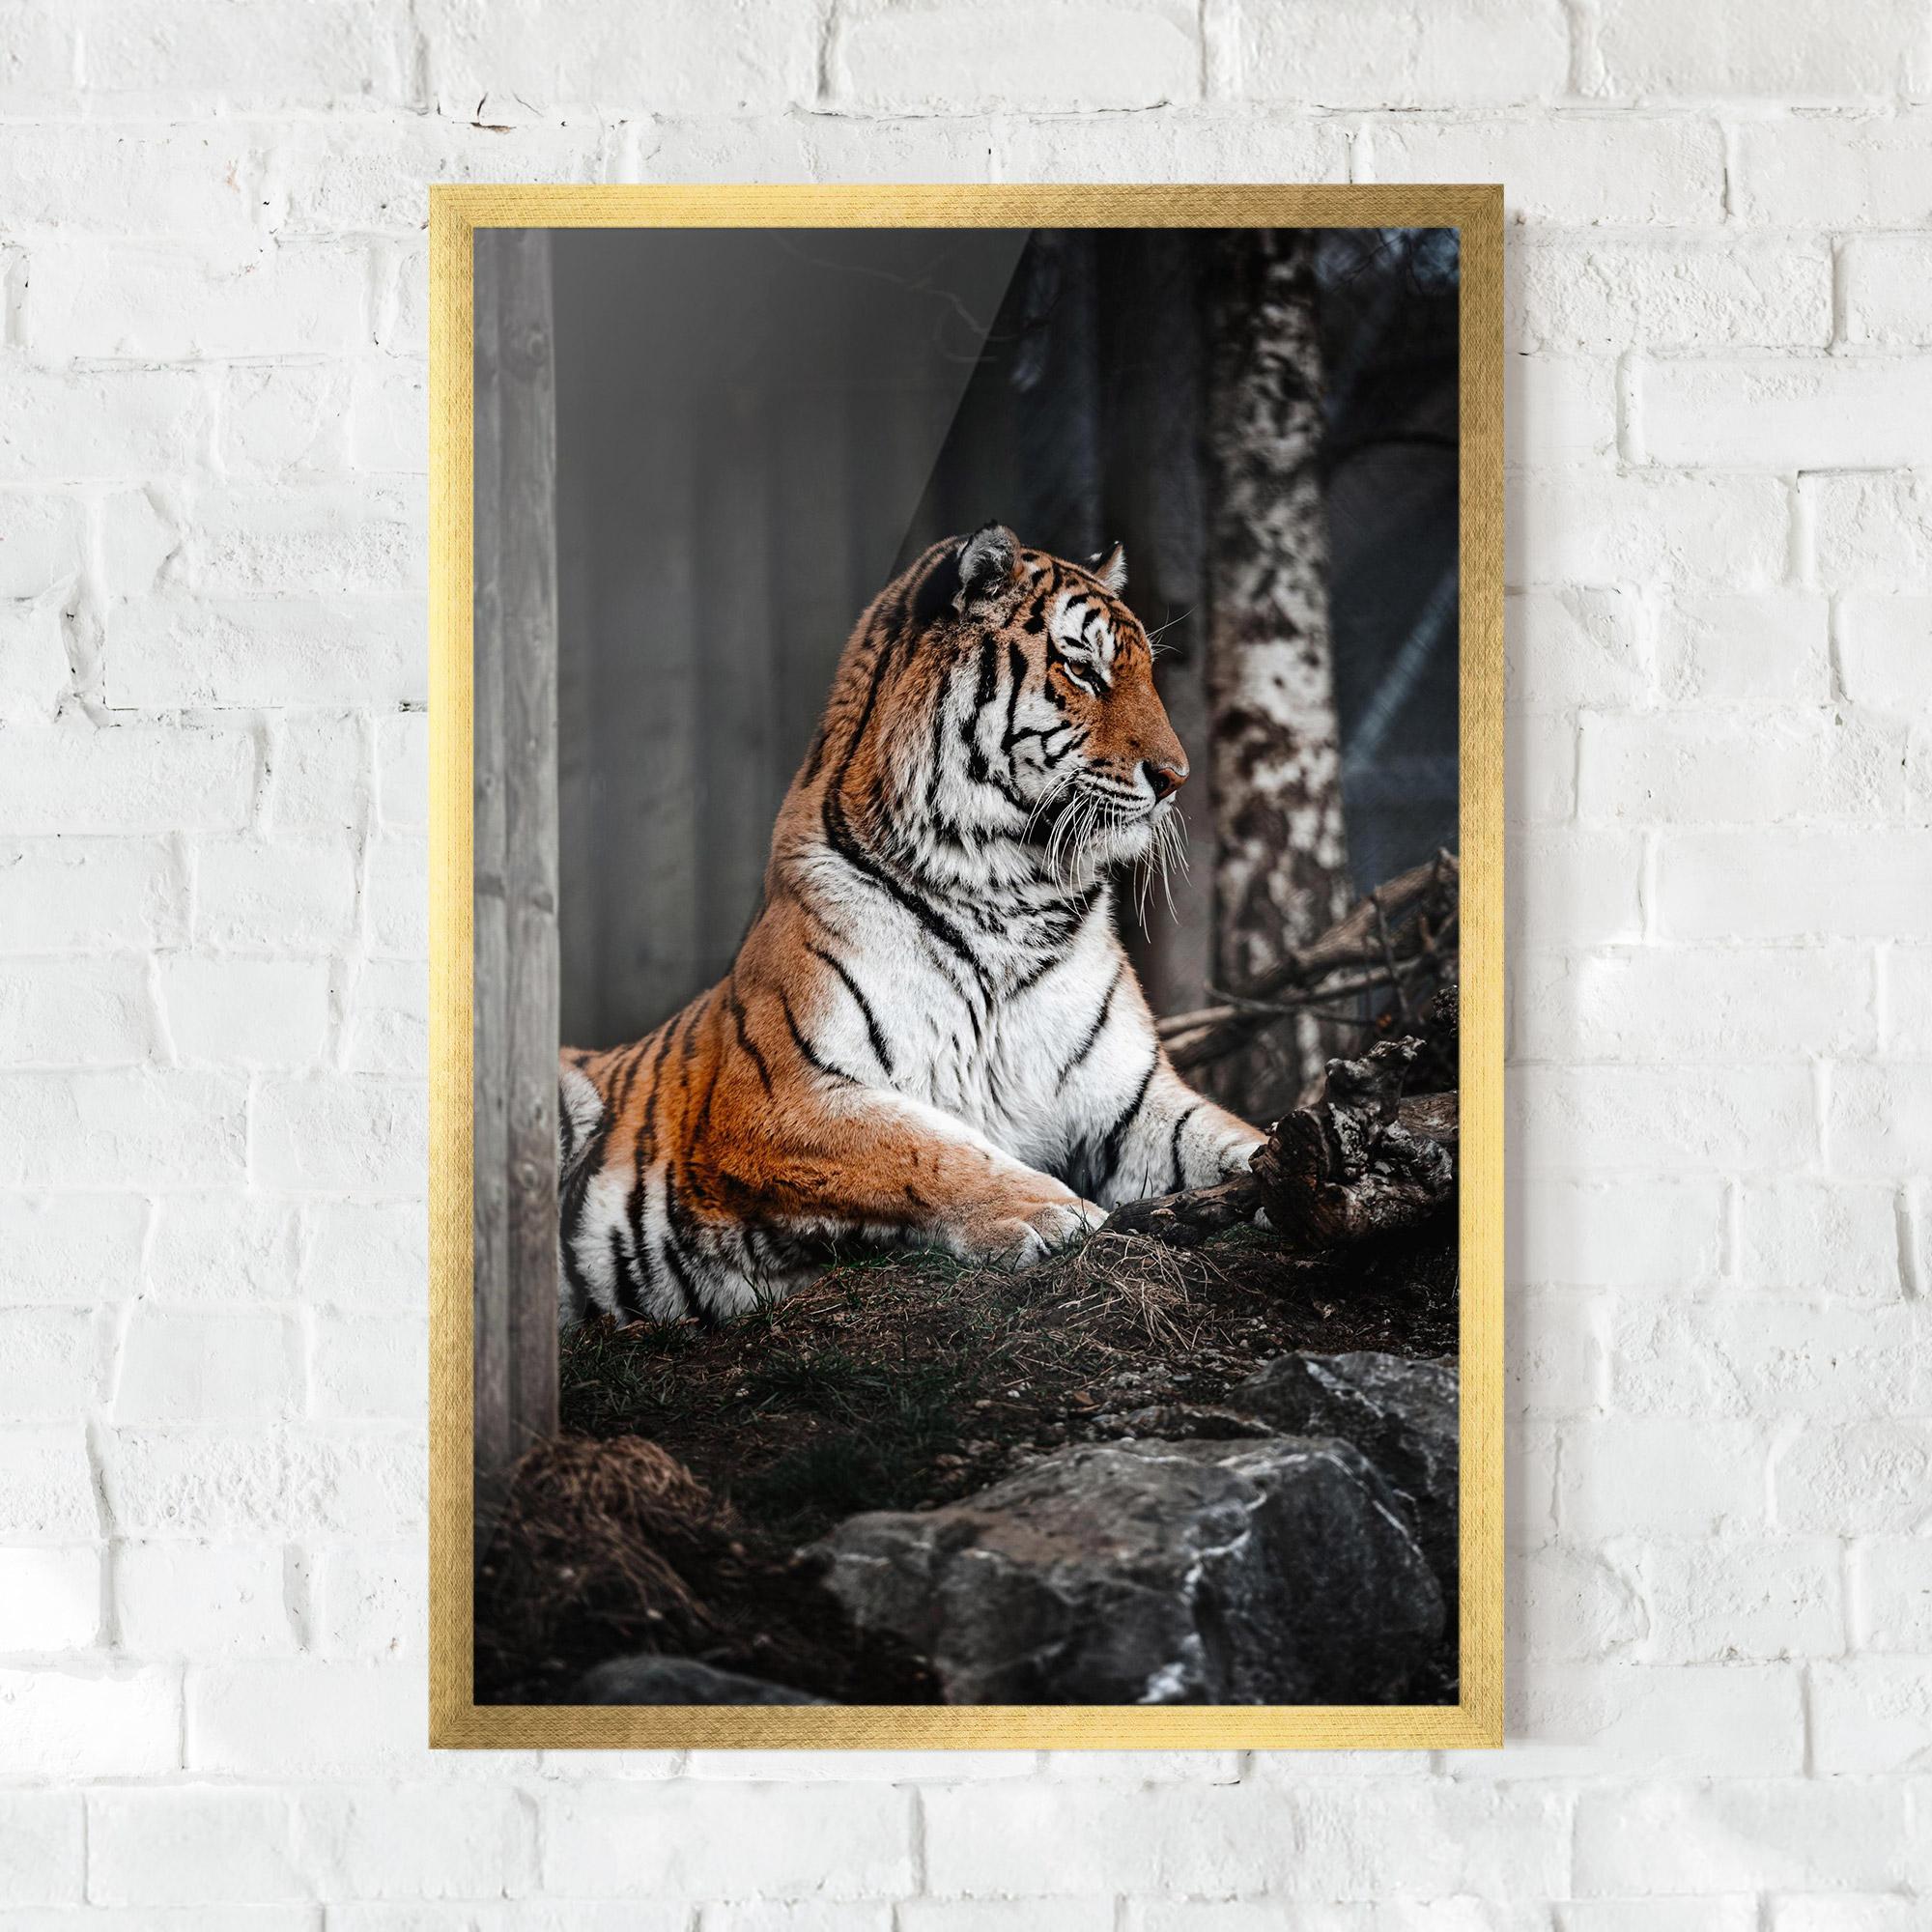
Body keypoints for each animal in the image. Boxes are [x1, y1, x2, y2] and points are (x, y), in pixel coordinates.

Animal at [556, 522, 1265, 1326]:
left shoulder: (1131, 1101)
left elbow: (1232, 1136)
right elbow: (927, 1148)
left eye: (1144, 671)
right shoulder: (775, 1097)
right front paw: (1050, 1212)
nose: (1176, 779)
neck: (1012, 894)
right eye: (1082, 669)